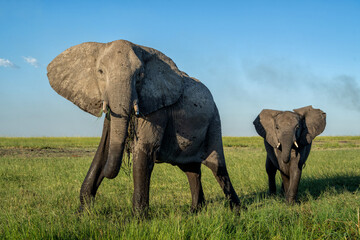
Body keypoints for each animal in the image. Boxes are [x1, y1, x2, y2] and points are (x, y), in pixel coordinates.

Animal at [46, 39, 240, 214]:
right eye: (100, 72)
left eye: (139, 75)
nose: (107, 174)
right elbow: (104, 149)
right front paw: (82, 213)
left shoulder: (157, 107)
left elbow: (144, 150)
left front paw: (138, 218)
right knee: (191, 170)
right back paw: (195, 211)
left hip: (214, 121)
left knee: (217, 167)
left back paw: (236, 211)